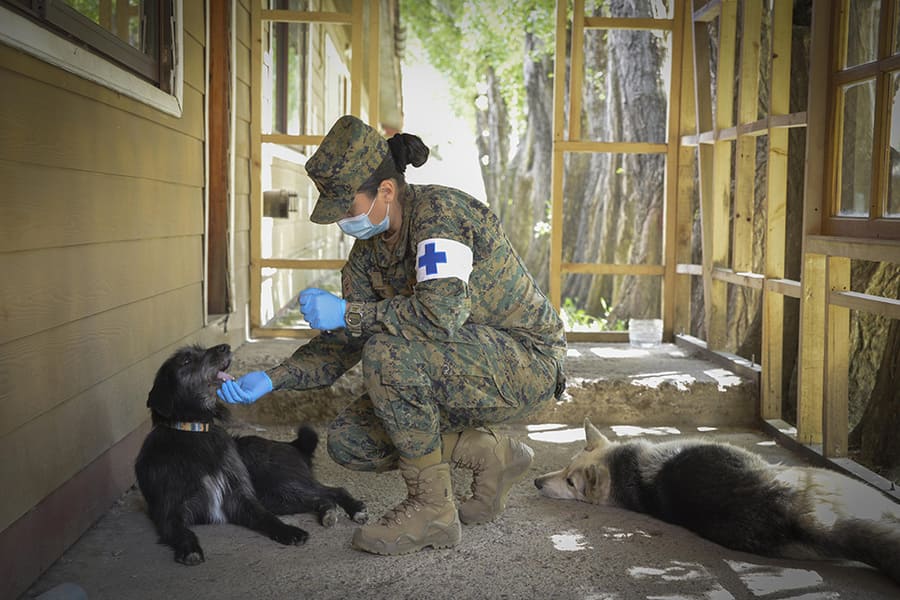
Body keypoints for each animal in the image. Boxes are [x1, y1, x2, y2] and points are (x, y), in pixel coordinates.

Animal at [134, 344, 367, 565]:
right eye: (186, 360)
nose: (225, 347)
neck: (194, 432)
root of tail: (294, 445)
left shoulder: (241, 498)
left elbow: (266, 518)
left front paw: (288, 531)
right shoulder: (168, 512)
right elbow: (181, 531)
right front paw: (189, 549)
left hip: (282, 483)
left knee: (334, 490)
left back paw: (355, 509)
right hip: (277, 497)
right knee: (322, 498)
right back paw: (328, 512)